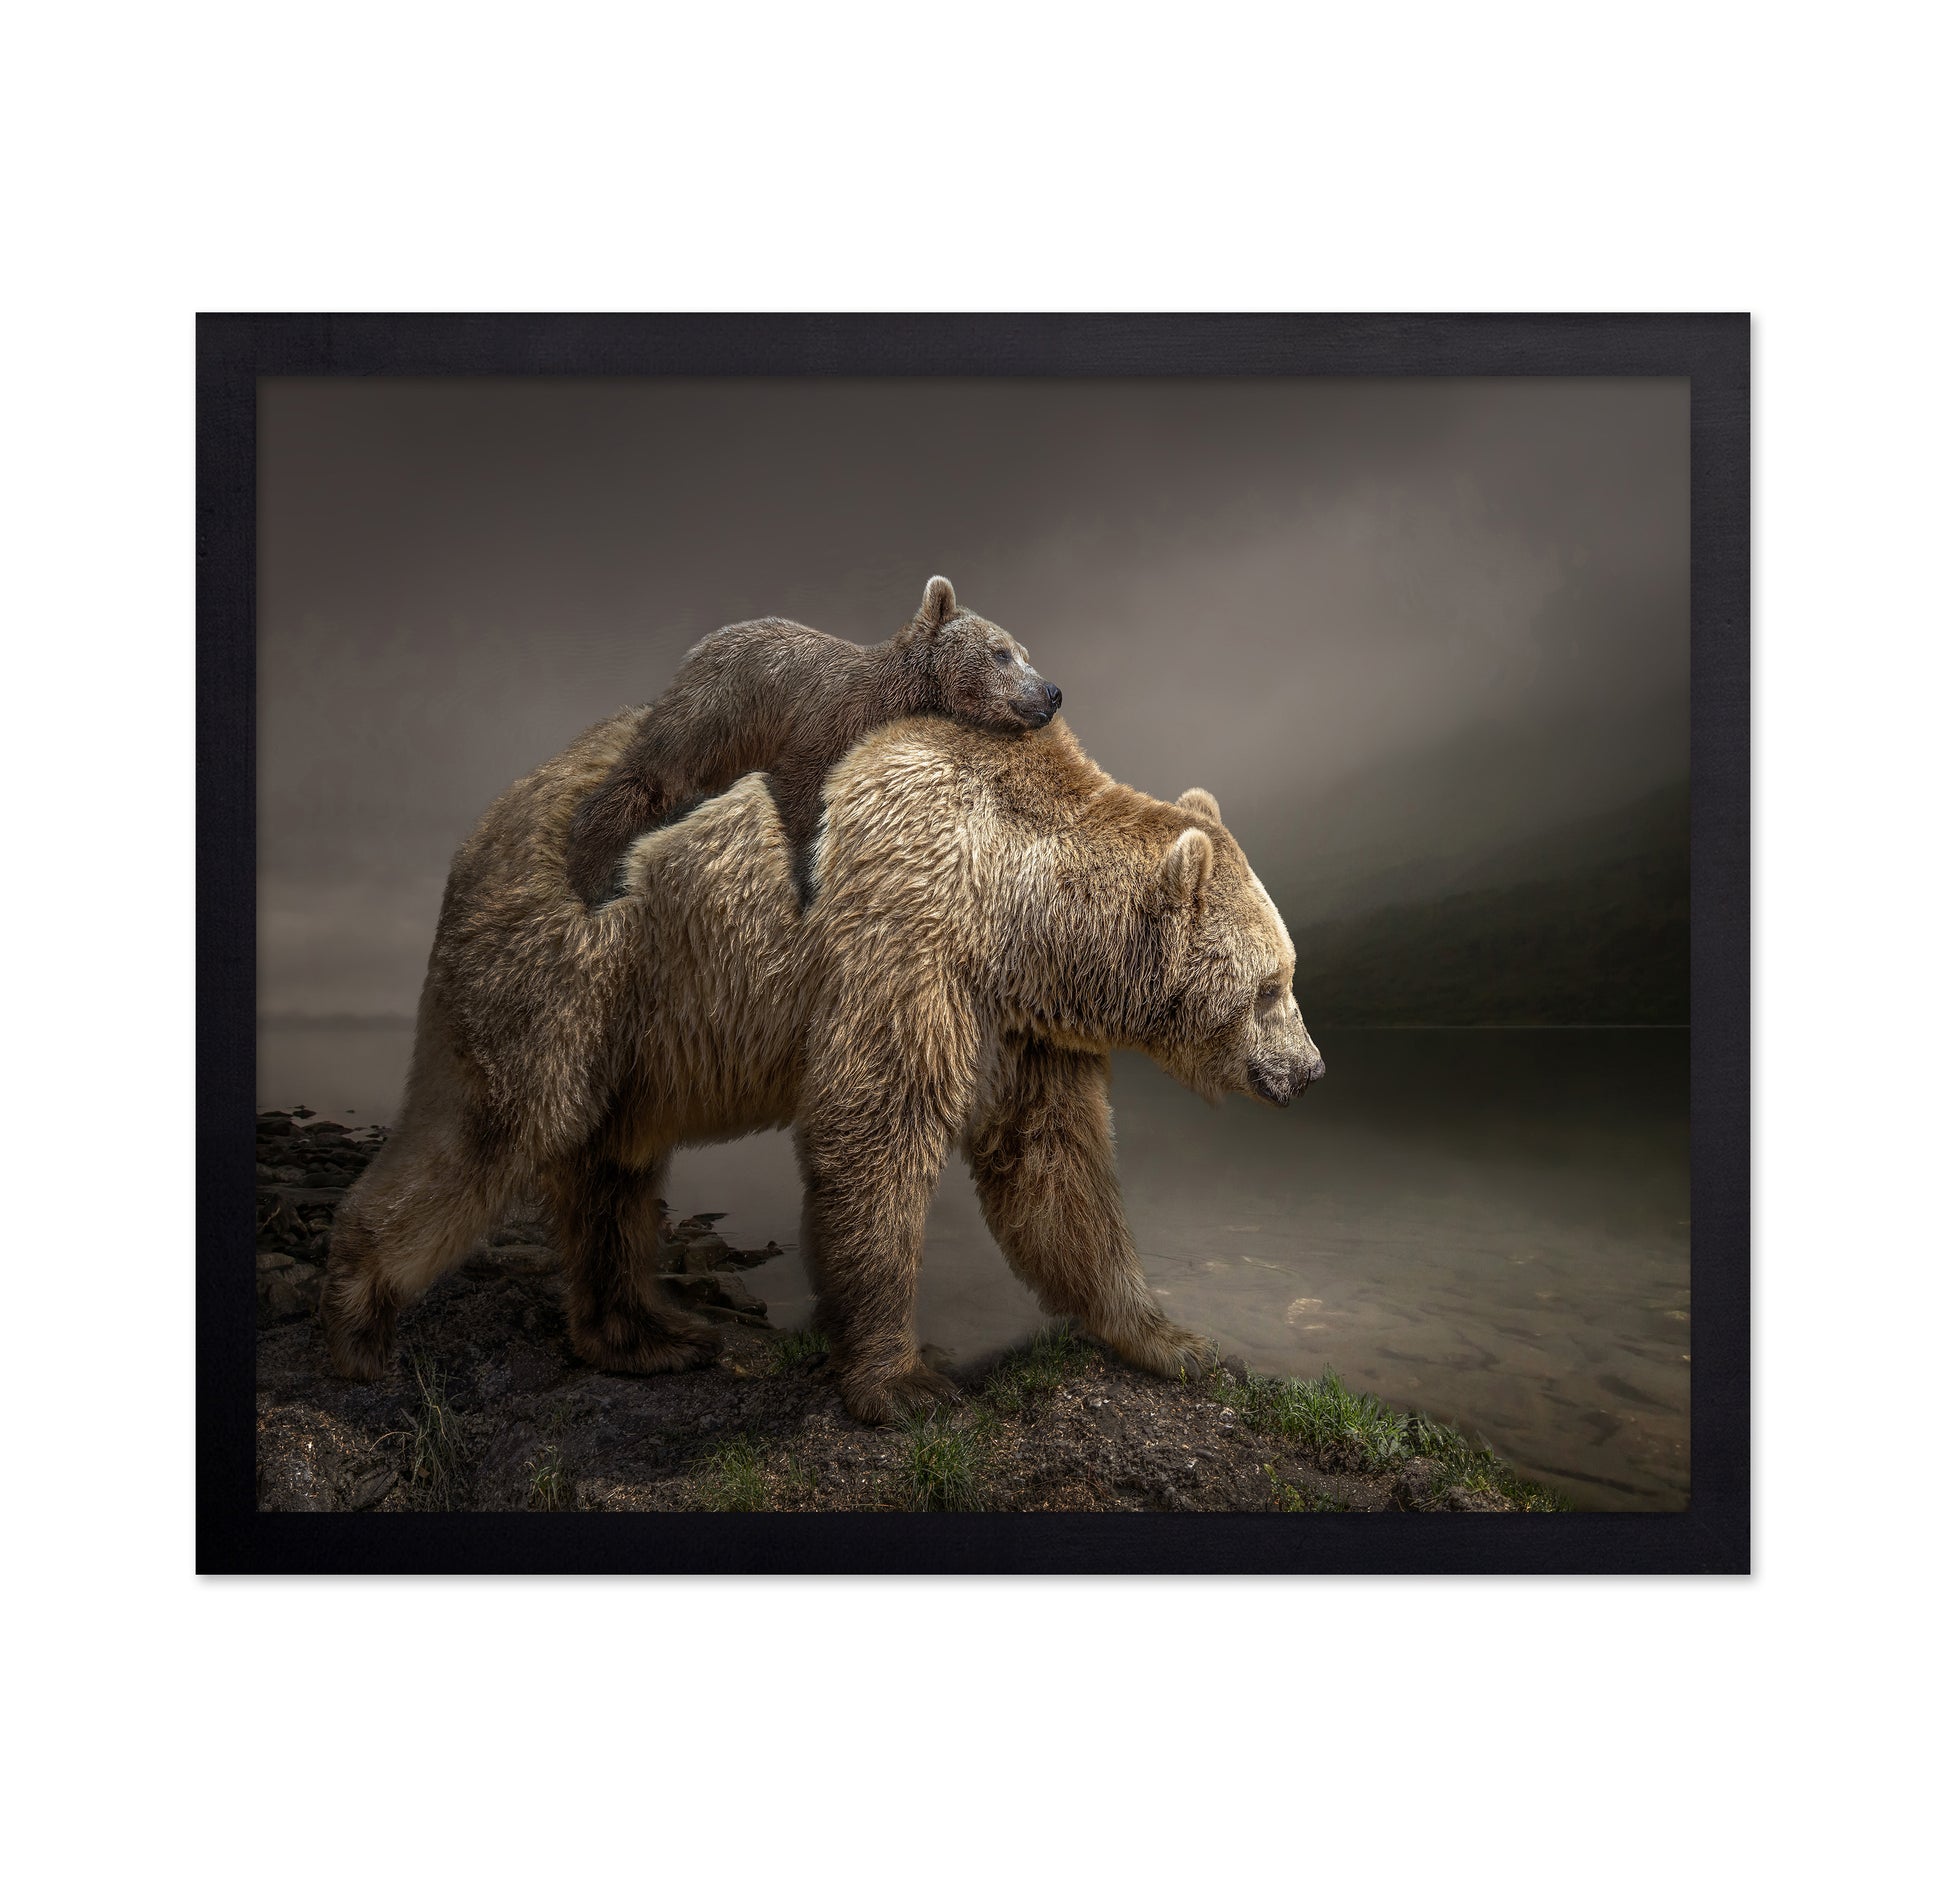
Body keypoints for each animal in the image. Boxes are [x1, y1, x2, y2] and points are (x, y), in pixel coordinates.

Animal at [322, 711, 1324, 1425]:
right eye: (1270, 986)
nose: (1311, 1069)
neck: (1020, 913)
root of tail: (482, 826)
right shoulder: (907, 937)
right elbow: (875, 1132)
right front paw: (905, 1380)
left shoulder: (1025, 1025)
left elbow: (1055, 1167)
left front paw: (1174, 1339)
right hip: (569, 963)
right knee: (493, 1125)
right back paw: (360, 1313)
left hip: (636, 1020)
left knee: (612, 1163)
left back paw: (645, 1332)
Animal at [563, 575, 1061, 905]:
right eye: (1001, 652)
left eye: (1025, 653)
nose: (1051, 692)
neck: (894, 698)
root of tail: (697, 650)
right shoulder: (818, 727)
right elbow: (800, 795)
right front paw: (808, 886)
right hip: (713, 717)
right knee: (651, 777)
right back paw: (594, 874)